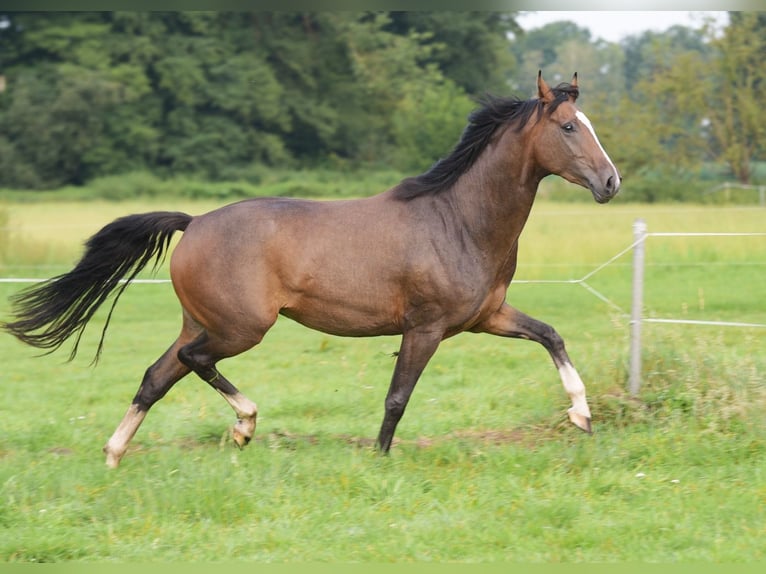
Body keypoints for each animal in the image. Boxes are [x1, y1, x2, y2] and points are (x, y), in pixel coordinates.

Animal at [3, 72, 620, 468]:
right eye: (569, 127)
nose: (611, 182)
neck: (458, 219)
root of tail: (194, 222)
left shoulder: (487, 317)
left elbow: (552, 336)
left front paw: (582, 417)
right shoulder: (425, 328)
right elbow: (398, 397)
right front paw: (379, 460)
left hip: (200, 321)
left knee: (157, 375)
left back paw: (114, 455)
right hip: (241, 328)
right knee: (194, 362)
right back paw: (244, 425)